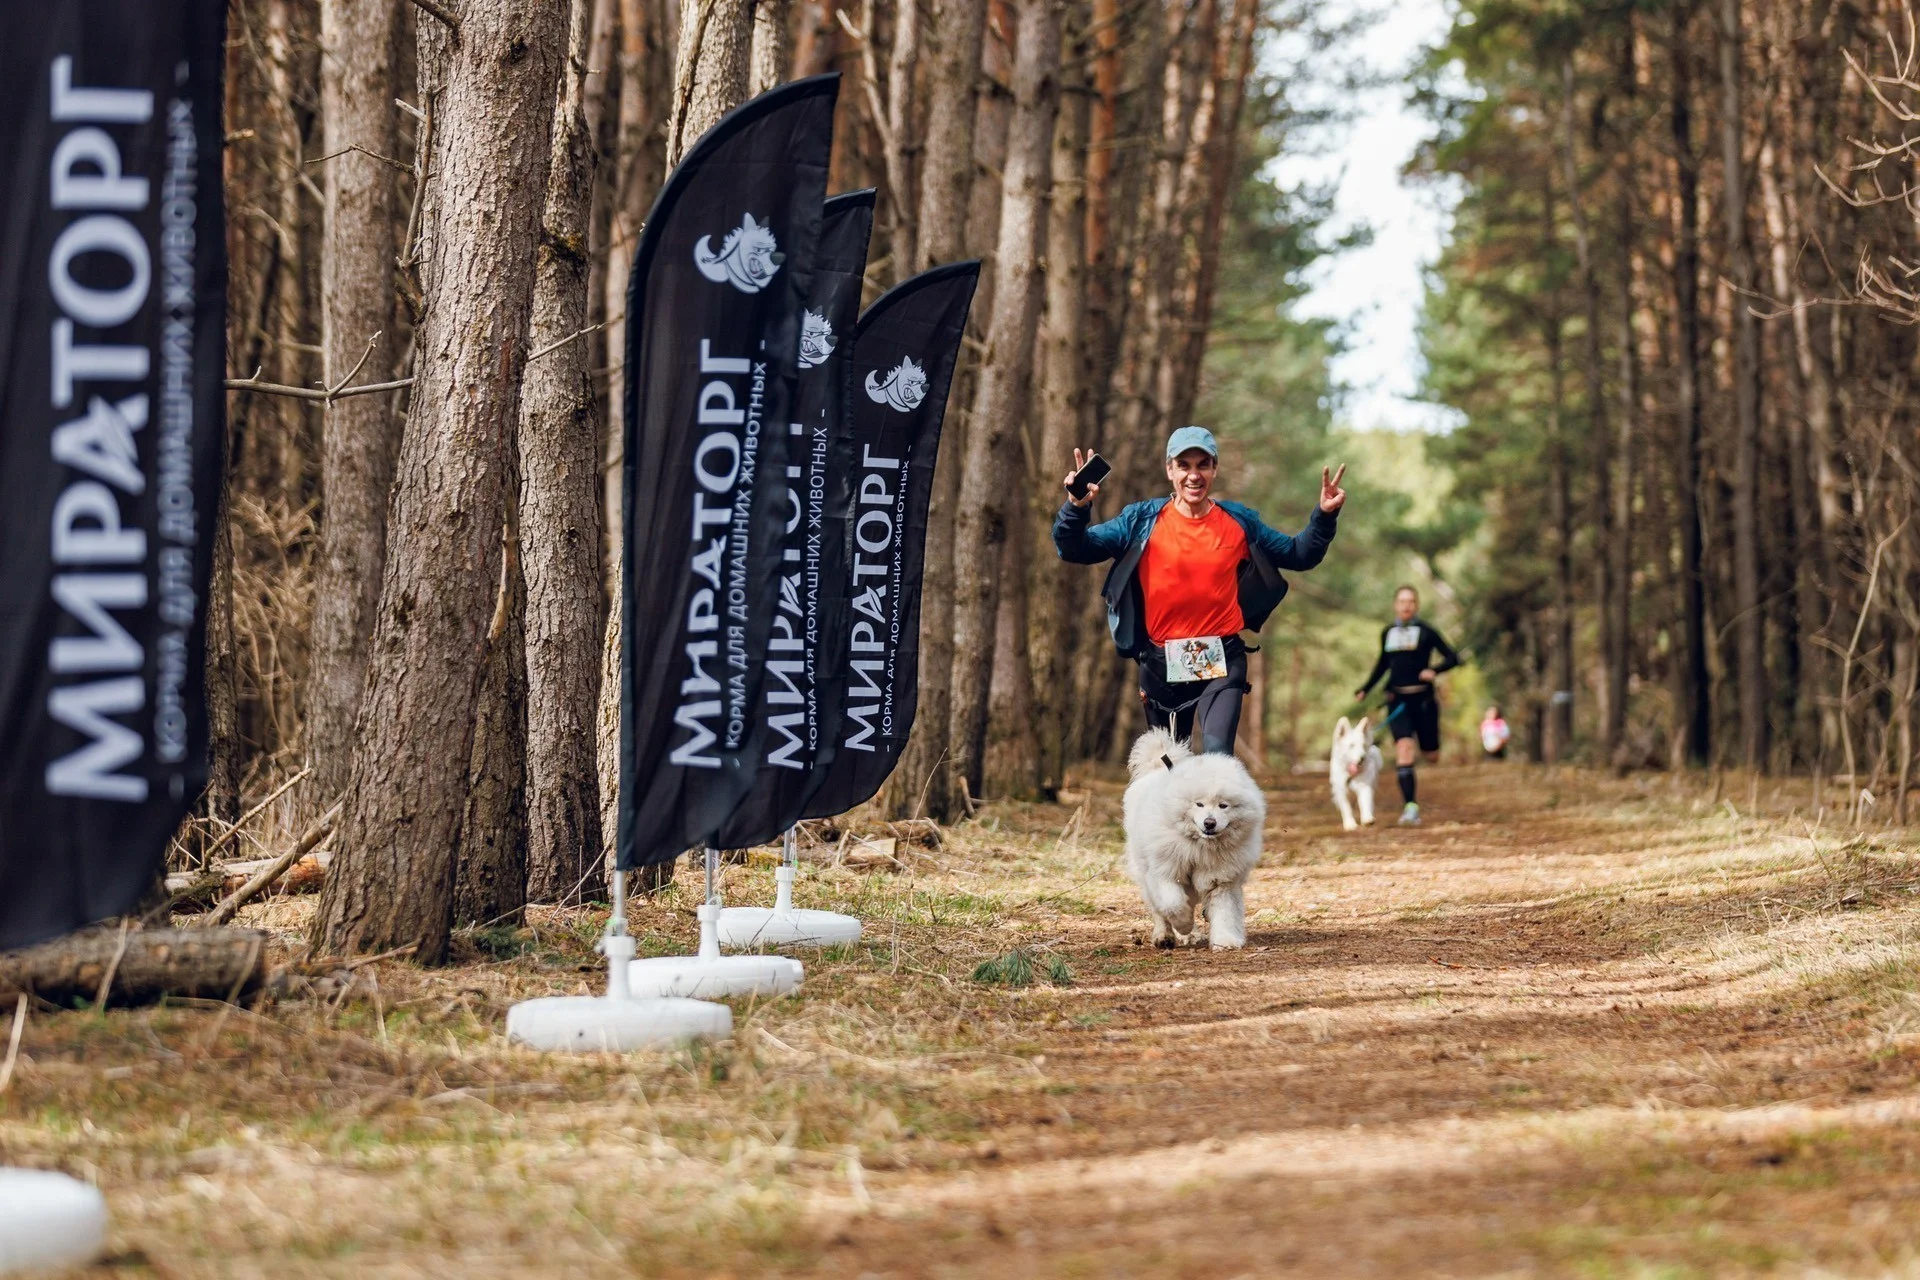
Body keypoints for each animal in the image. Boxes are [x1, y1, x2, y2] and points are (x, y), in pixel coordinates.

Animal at [1122, 729, 1267, 949]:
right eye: (1199, 804)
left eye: (1223, 805)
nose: (1209, 823)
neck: (1199, 846)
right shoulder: (1166, 871)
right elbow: (1173, 905)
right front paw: (1184, 925)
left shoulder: (1221, 878)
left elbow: (1225, 912)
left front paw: (1225, 941)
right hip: (1144, 870)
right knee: (1158, 910)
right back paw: (1165, 937)